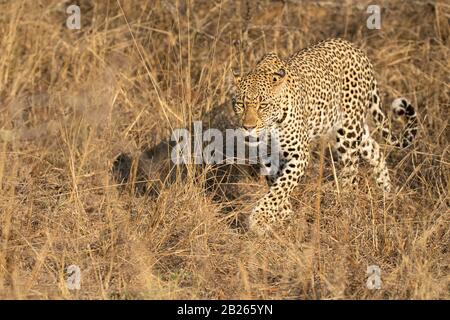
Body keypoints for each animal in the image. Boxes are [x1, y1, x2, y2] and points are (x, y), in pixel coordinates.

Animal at [232, 38, 418, 235]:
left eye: (263, 105)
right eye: (240, 104)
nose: (248, 127)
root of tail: (355, 49)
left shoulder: (299, 155)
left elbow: (282, 187)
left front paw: (260, 218)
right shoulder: (268, 157)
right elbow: (276, 185)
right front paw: (284, 215)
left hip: (348, 133)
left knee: (351, 173)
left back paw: (347, 206)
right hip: (357, 131)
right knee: (375, 150)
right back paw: (385, 191)